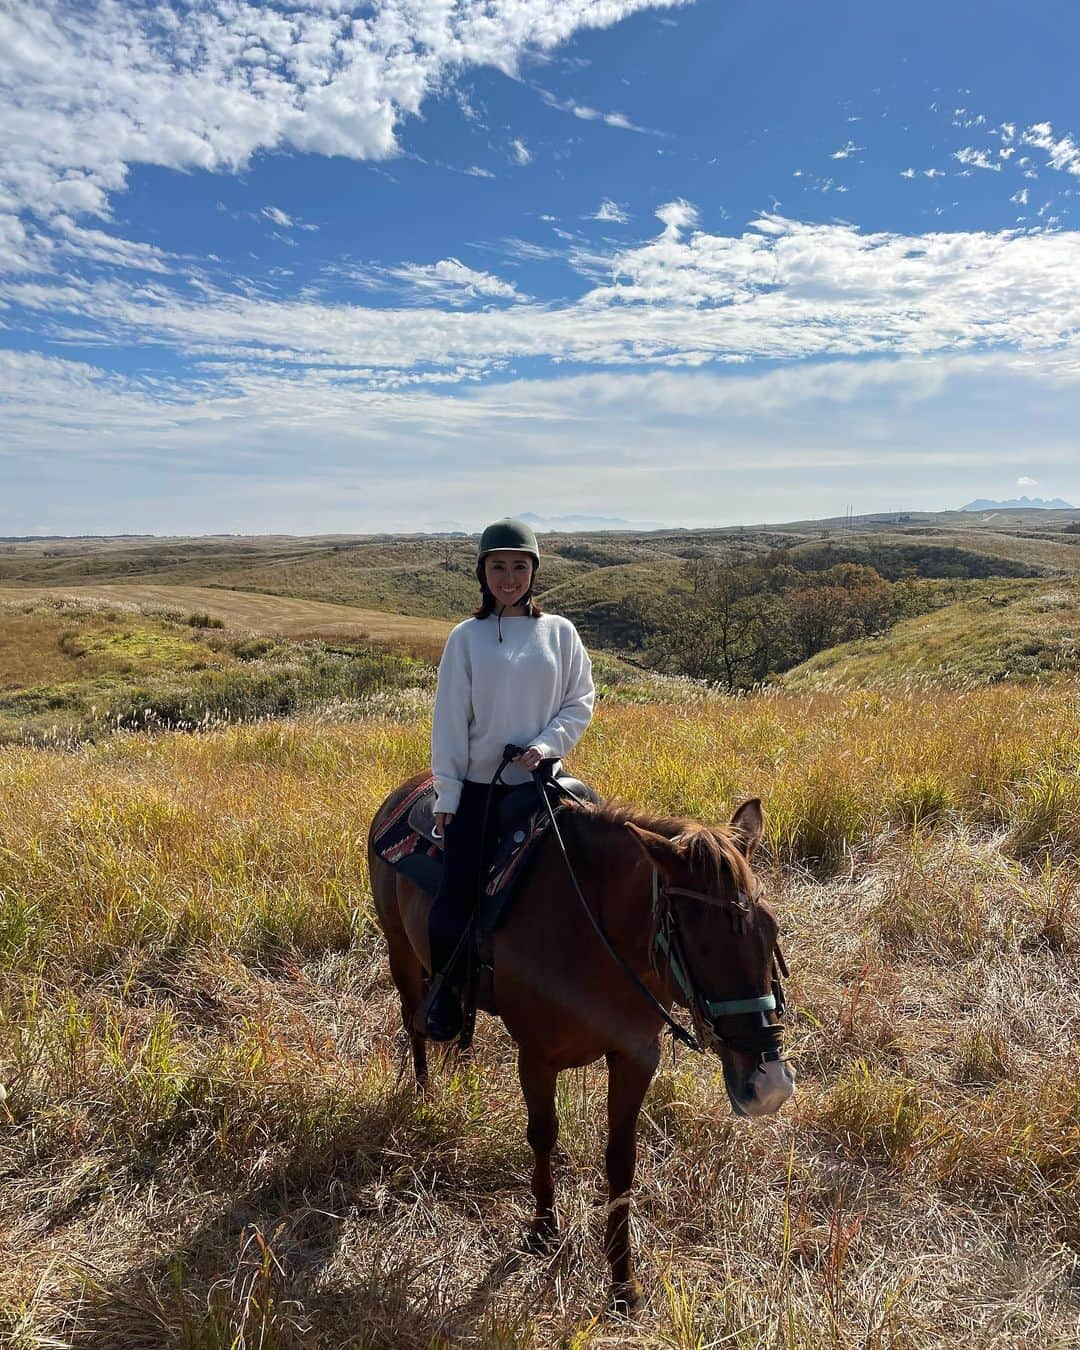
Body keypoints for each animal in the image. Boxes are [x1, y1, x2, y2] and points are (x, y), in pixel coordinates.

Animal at [369, 783, 793, 1306]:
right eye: (701, 943)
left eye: (771, 930)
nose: (769, 1085)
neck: (590, 931)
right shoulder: (535, 1056)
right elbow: (543, 1134)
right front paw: (543, 1230)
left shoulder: (636, 1056)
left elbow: (621, 1160)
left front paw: (622, 1280)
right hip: (401, 953)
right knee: (414, 1023)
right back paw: (426, 1092)